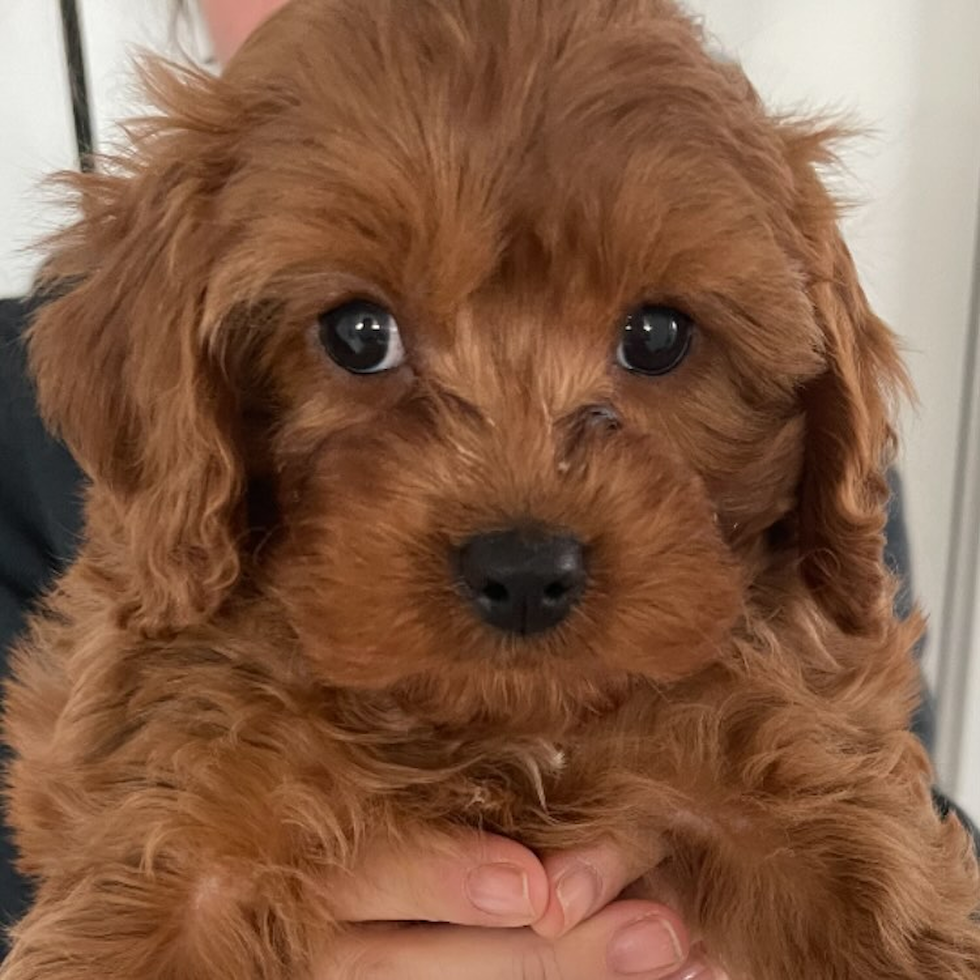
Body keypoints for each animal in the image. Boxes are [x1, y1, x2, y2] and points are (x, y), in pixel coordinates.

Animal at [1, 1, 980, 980]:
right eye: (359, 334)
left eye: (657, 335)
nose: (524, 570)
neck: (503, 731)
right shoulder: (176, 813)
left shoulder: (804, 767)